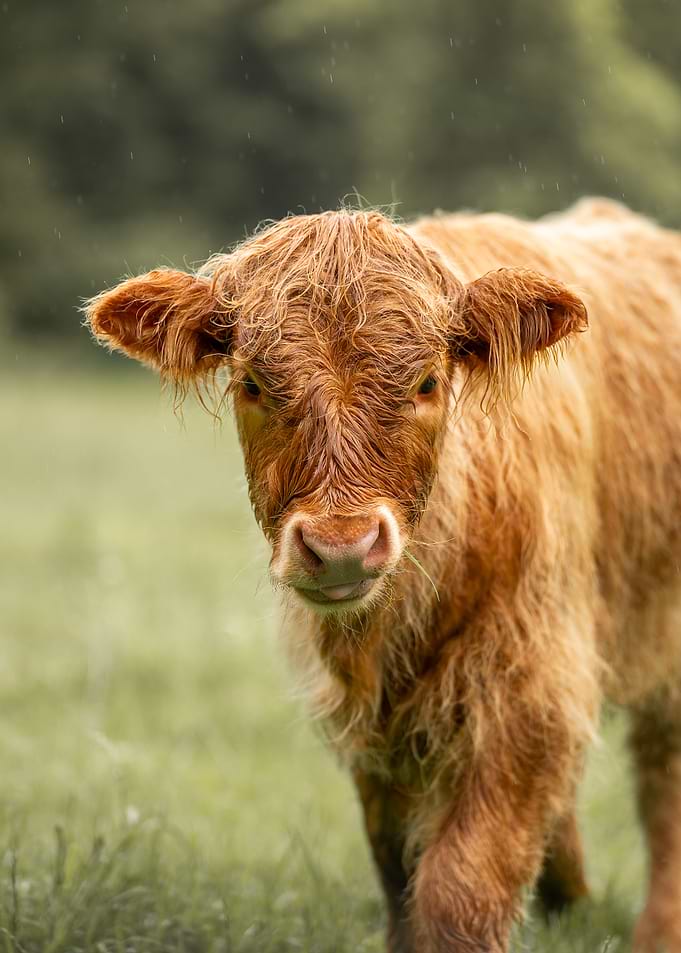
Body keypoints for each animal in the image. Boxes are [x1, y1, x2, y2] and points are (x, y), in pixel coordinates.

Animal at [86, 198, 681, 953]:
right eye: (253, 384)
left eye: (427, 382)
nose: (341, 546)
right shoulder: (379, 726)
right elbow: (399, 868)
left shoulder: (530, 682)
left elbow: (462, 885)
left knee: (664, 783)